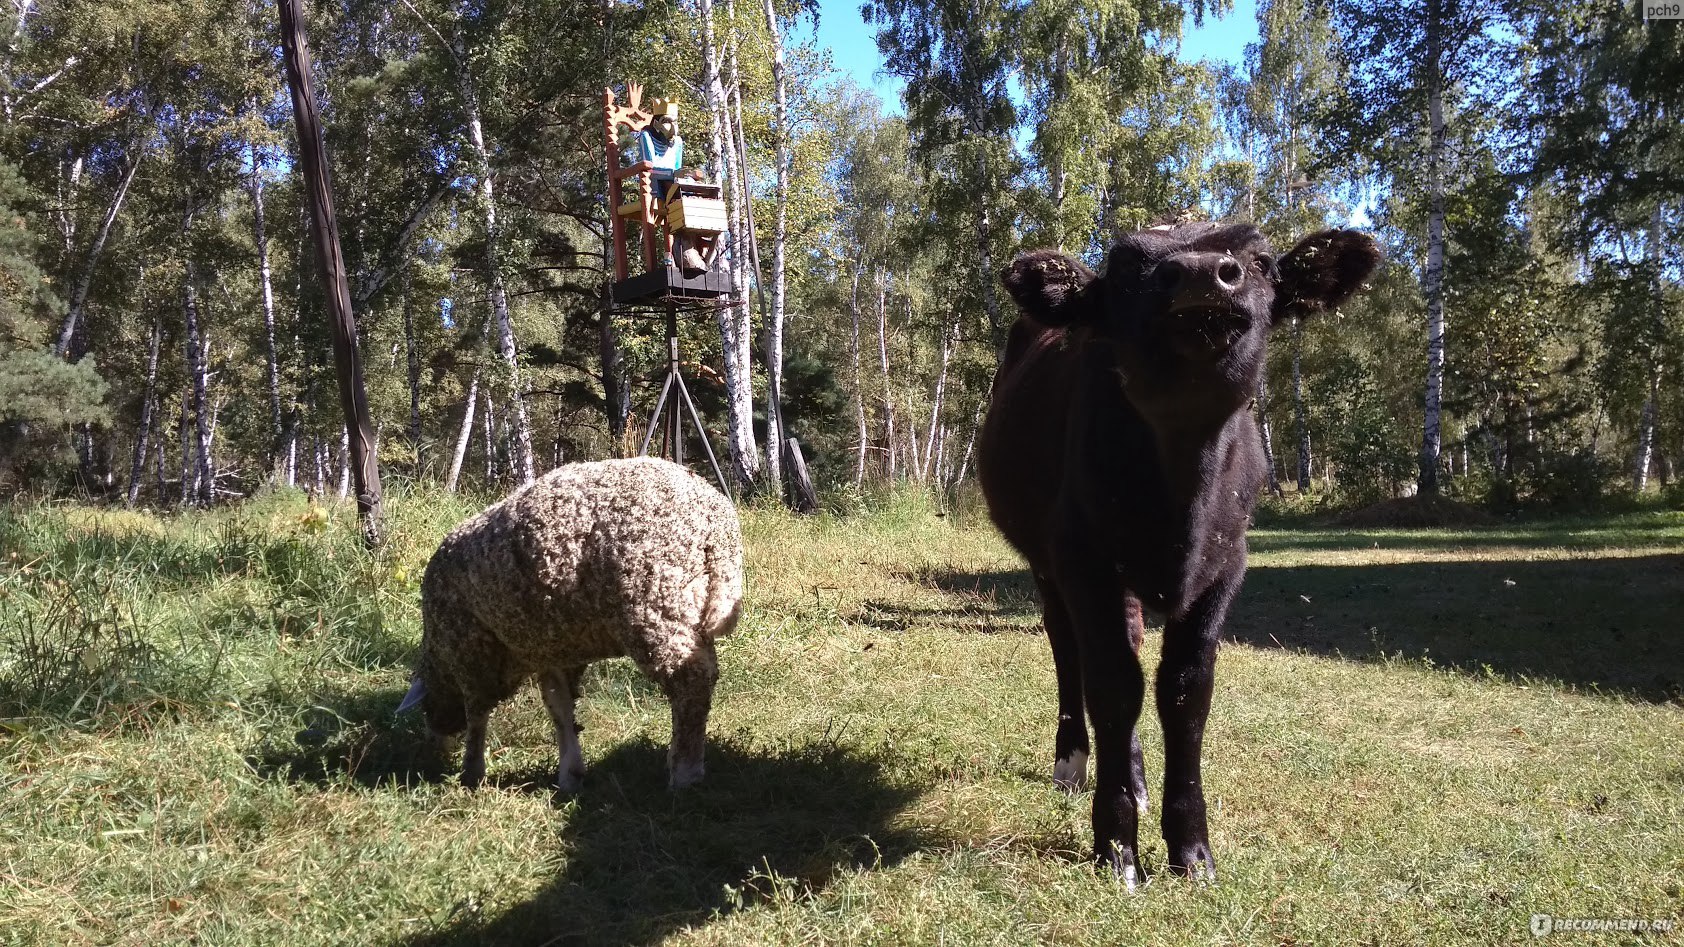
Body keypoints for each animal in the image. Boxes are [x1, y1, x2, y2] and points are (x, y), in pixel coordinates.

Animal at [397, 458, 740, 788]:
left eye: (426, 705)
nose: (435, 745)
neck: (438, 652)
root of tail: (716, 523)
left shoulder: (470, 651)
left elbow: (477, 715)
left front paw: (471, 771)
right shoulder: (553, 648)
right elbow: (559, 706)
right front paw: (570, 772)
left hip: (655, 603)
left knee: (691, 683)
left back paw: (684, 772)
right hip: (687, 608)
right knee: (705, 674)